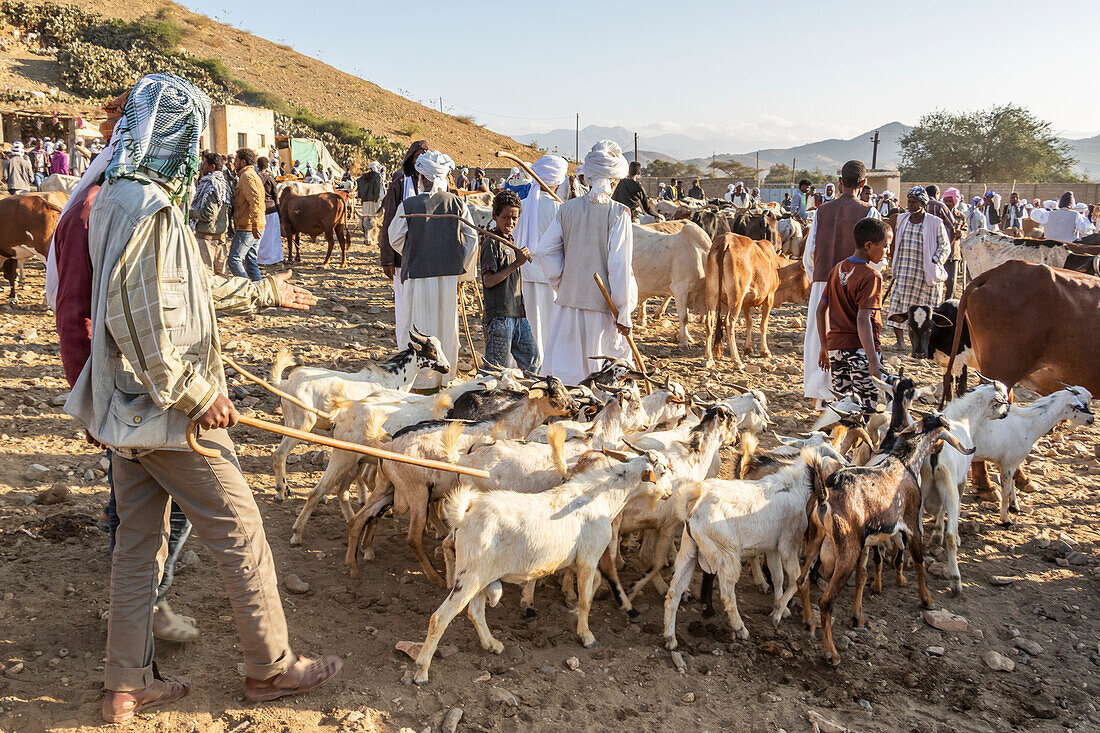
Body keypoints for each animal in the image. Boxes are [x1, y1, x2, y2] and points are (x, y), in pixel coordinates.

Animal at [704, 232, 783, 367]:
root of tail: (726, 238)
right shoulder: (770, 296)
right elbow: (763, 324)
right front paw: (765, 351)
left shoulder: (746, 302)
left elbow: (749, 322)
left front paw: (748, 348)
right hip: (736, 295)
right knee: (729, 322)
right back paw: (737, 360)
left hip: (712, 291)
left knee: (710, 319)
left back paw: (709, 358)